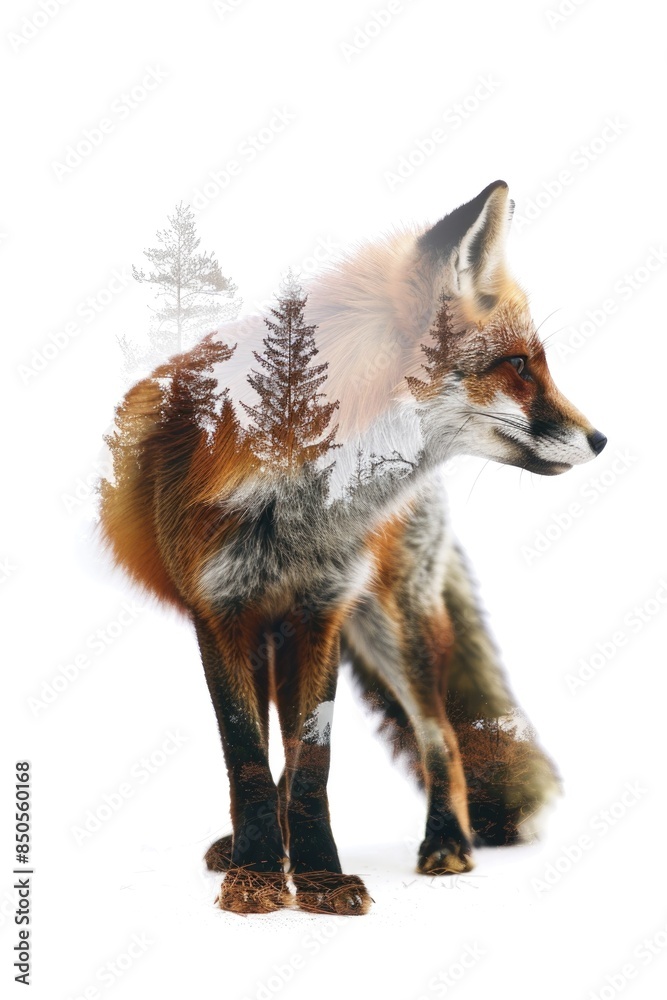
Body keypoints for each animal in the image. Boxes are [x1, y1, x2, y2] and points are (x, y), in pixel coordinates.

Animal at [99, 180, 606, 916]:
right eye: (516, 366)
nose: (601, 439)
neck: (299, 501)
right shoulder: (220, 611)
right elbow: (248, 758)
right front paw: (260, 873)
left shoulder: (322, 609)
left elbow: (313, 765)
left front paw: (316, 879)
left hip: (391, 624)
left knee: (441, 735)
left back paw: (446, 841)